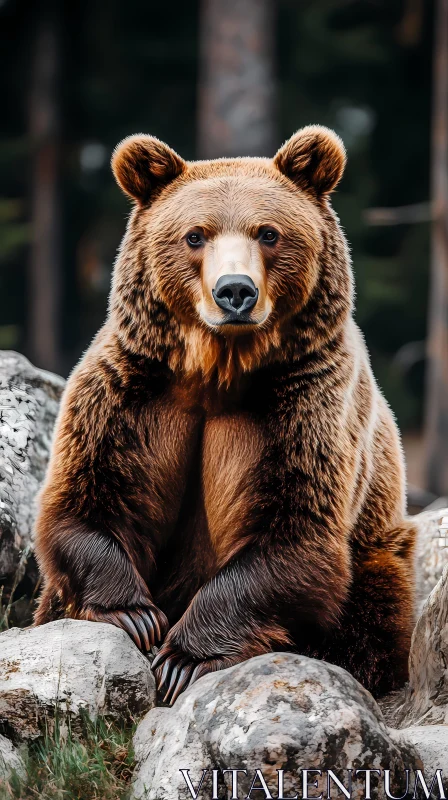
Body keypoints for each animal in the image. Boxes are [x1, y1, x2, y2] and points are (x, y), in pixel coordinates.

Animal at [34, 126, 416, 708]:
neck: (218, 368)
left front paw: (183, 659)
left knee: (373, 604)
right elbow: (86, 499)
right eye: (195, 235)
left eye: (269, 233)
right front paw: (136, 614)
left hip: (378, 545)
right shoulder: (132, 392)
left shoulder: (303, 406)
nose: (235, 290)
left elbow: (291, 533)